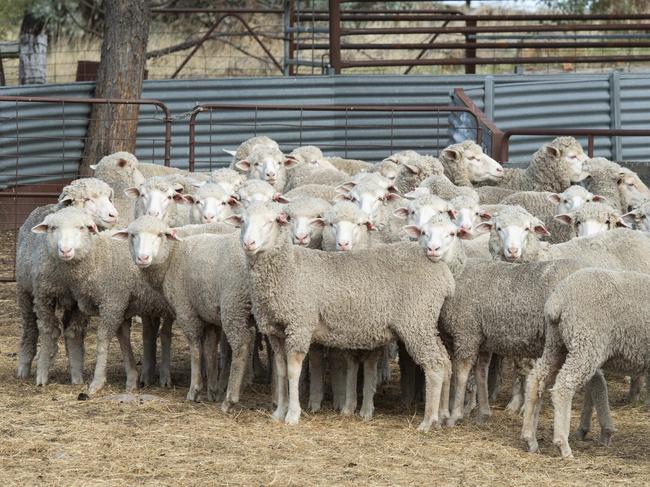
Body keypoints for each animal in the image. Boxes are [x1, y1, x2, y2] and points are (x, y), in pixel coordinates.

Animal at [15, 177, 118, 384]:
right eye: (87, 199)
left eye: (108, 196)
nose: (113, 215)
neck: (67, 276)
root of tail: (41, 206)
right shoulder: (44, 296)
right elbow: (48, 331)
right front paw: (42, 375)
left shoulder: (80, 302)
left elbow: (74, 333)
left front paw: (77, 376)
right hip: (25, 291)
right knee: (30, 328)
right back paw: (24, 366)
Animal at [30, 208, 173, 394]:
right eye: (53, 228)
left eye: (81, 227)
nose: (65, 250)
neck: (98, 255)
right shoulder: (120, 305)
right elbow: (123, 339)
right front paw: (131, 378)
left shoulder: (112, 303)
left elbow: (103, 340)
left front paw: (97, 382)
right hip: (152, 303)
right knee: (153, 332)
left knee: (165, 333)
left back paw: (165, 377)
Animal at [111, 217, 253, 412]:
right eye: (132, 235)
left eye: (160, 235)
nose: (143, 258)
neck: (173, 256)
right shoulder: (207, 313)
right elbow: (209, 351)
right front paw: (213, 390)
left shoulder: (186, 310)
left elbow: (196, 349)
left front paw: (195, 390)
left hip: (235, 305)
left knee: (242, 347)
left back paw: (230, 399)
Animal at [230, 202, 454, 430]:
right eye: (243, 221)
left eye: (270, 222)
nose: (249, 243)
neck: (288, 269)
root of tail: (444, 274)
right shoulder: (276, 331)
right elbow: (281, 370)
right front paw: (278, 412)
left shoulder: (299, 325)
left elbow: (293, 371)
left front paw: (292, 414)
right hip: (426, 323)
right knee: (446, 362)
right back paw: (442, 416)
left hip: (415, 322)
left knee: (435, 365)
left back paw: (428, 421)